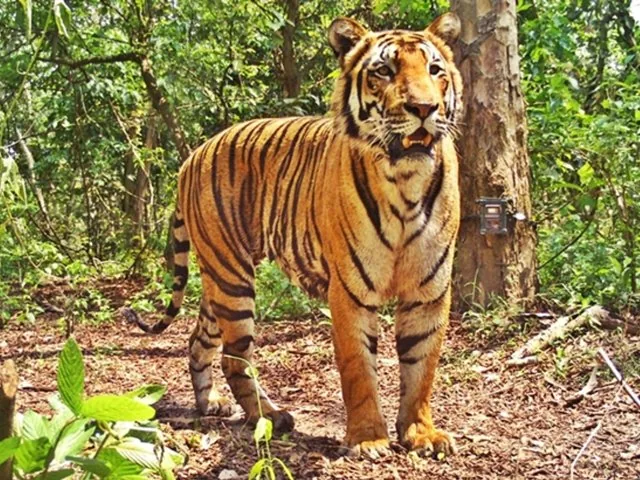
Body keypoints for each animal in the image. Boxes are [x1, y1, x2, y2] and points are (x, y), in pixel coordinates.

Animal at [125, 12, 463, 458]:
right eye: (384, 71)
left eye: (435, 70)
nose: (424, 108)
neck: (406, 183)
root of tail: (192, 155)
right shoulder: (350, 291)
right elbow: (359, 369)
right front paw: (368, 438)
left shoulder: (429, 291)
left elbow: (422, 369)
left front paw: (422, 433)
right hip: (232, 278)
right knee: (235, 357)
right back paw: (269, 417)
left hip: (217, 283)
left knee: (199, 339)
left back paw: (208, 402)